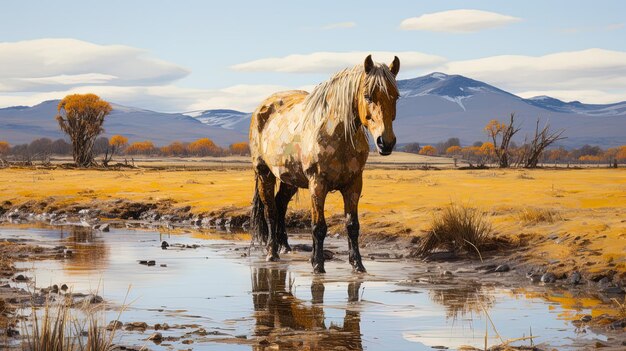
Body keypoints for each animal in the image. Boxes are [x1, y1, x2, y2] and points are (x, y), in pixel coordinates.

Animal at [250, 55, 400, 276]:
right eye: (367, 96)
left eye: (396, 96)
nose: (386, 143)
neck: (337, 133)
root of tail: (262, 108)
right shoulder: (317, 184)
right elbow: (318, 227)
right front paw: (317, 264)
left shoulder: (354, 185)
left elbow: (352, 226)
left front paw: (358, 265)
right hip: (264, 174)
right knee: (270, 211)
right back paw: (272, 252)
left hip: (290, 179)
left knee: (280, 205)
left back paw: (284, 246)